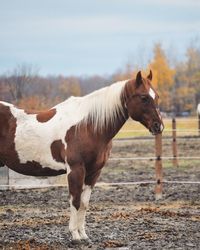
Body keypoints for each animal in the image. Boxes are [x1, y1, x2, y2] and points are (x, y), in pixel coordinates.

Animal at [0, 70, 162, 240]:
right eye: (143, 97)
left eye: (157, 95)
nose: (159, 126)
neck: (87, 127)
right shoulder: (75, 169)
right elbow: (75, 201)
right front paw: (75, 235)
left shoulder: (93, 172)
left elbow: (84, 203)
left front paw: (83, 235)